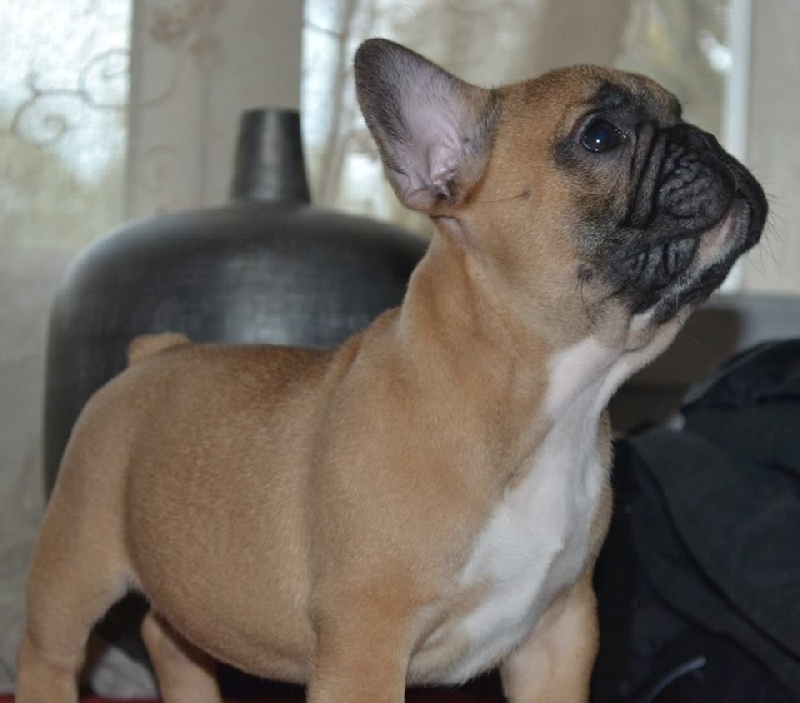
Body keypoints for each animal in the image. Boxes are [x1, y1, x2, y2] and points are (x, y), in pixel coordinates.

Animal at [17, 39, 766, 703]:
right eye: (601, 136)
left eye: (680, 111)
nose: (708, 142)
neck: (548, 398)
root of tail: (158, 351)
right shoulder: (366, 643)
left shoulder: (558, 634)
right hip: (78, 553)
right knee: (52, 650)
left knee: (168, 634)